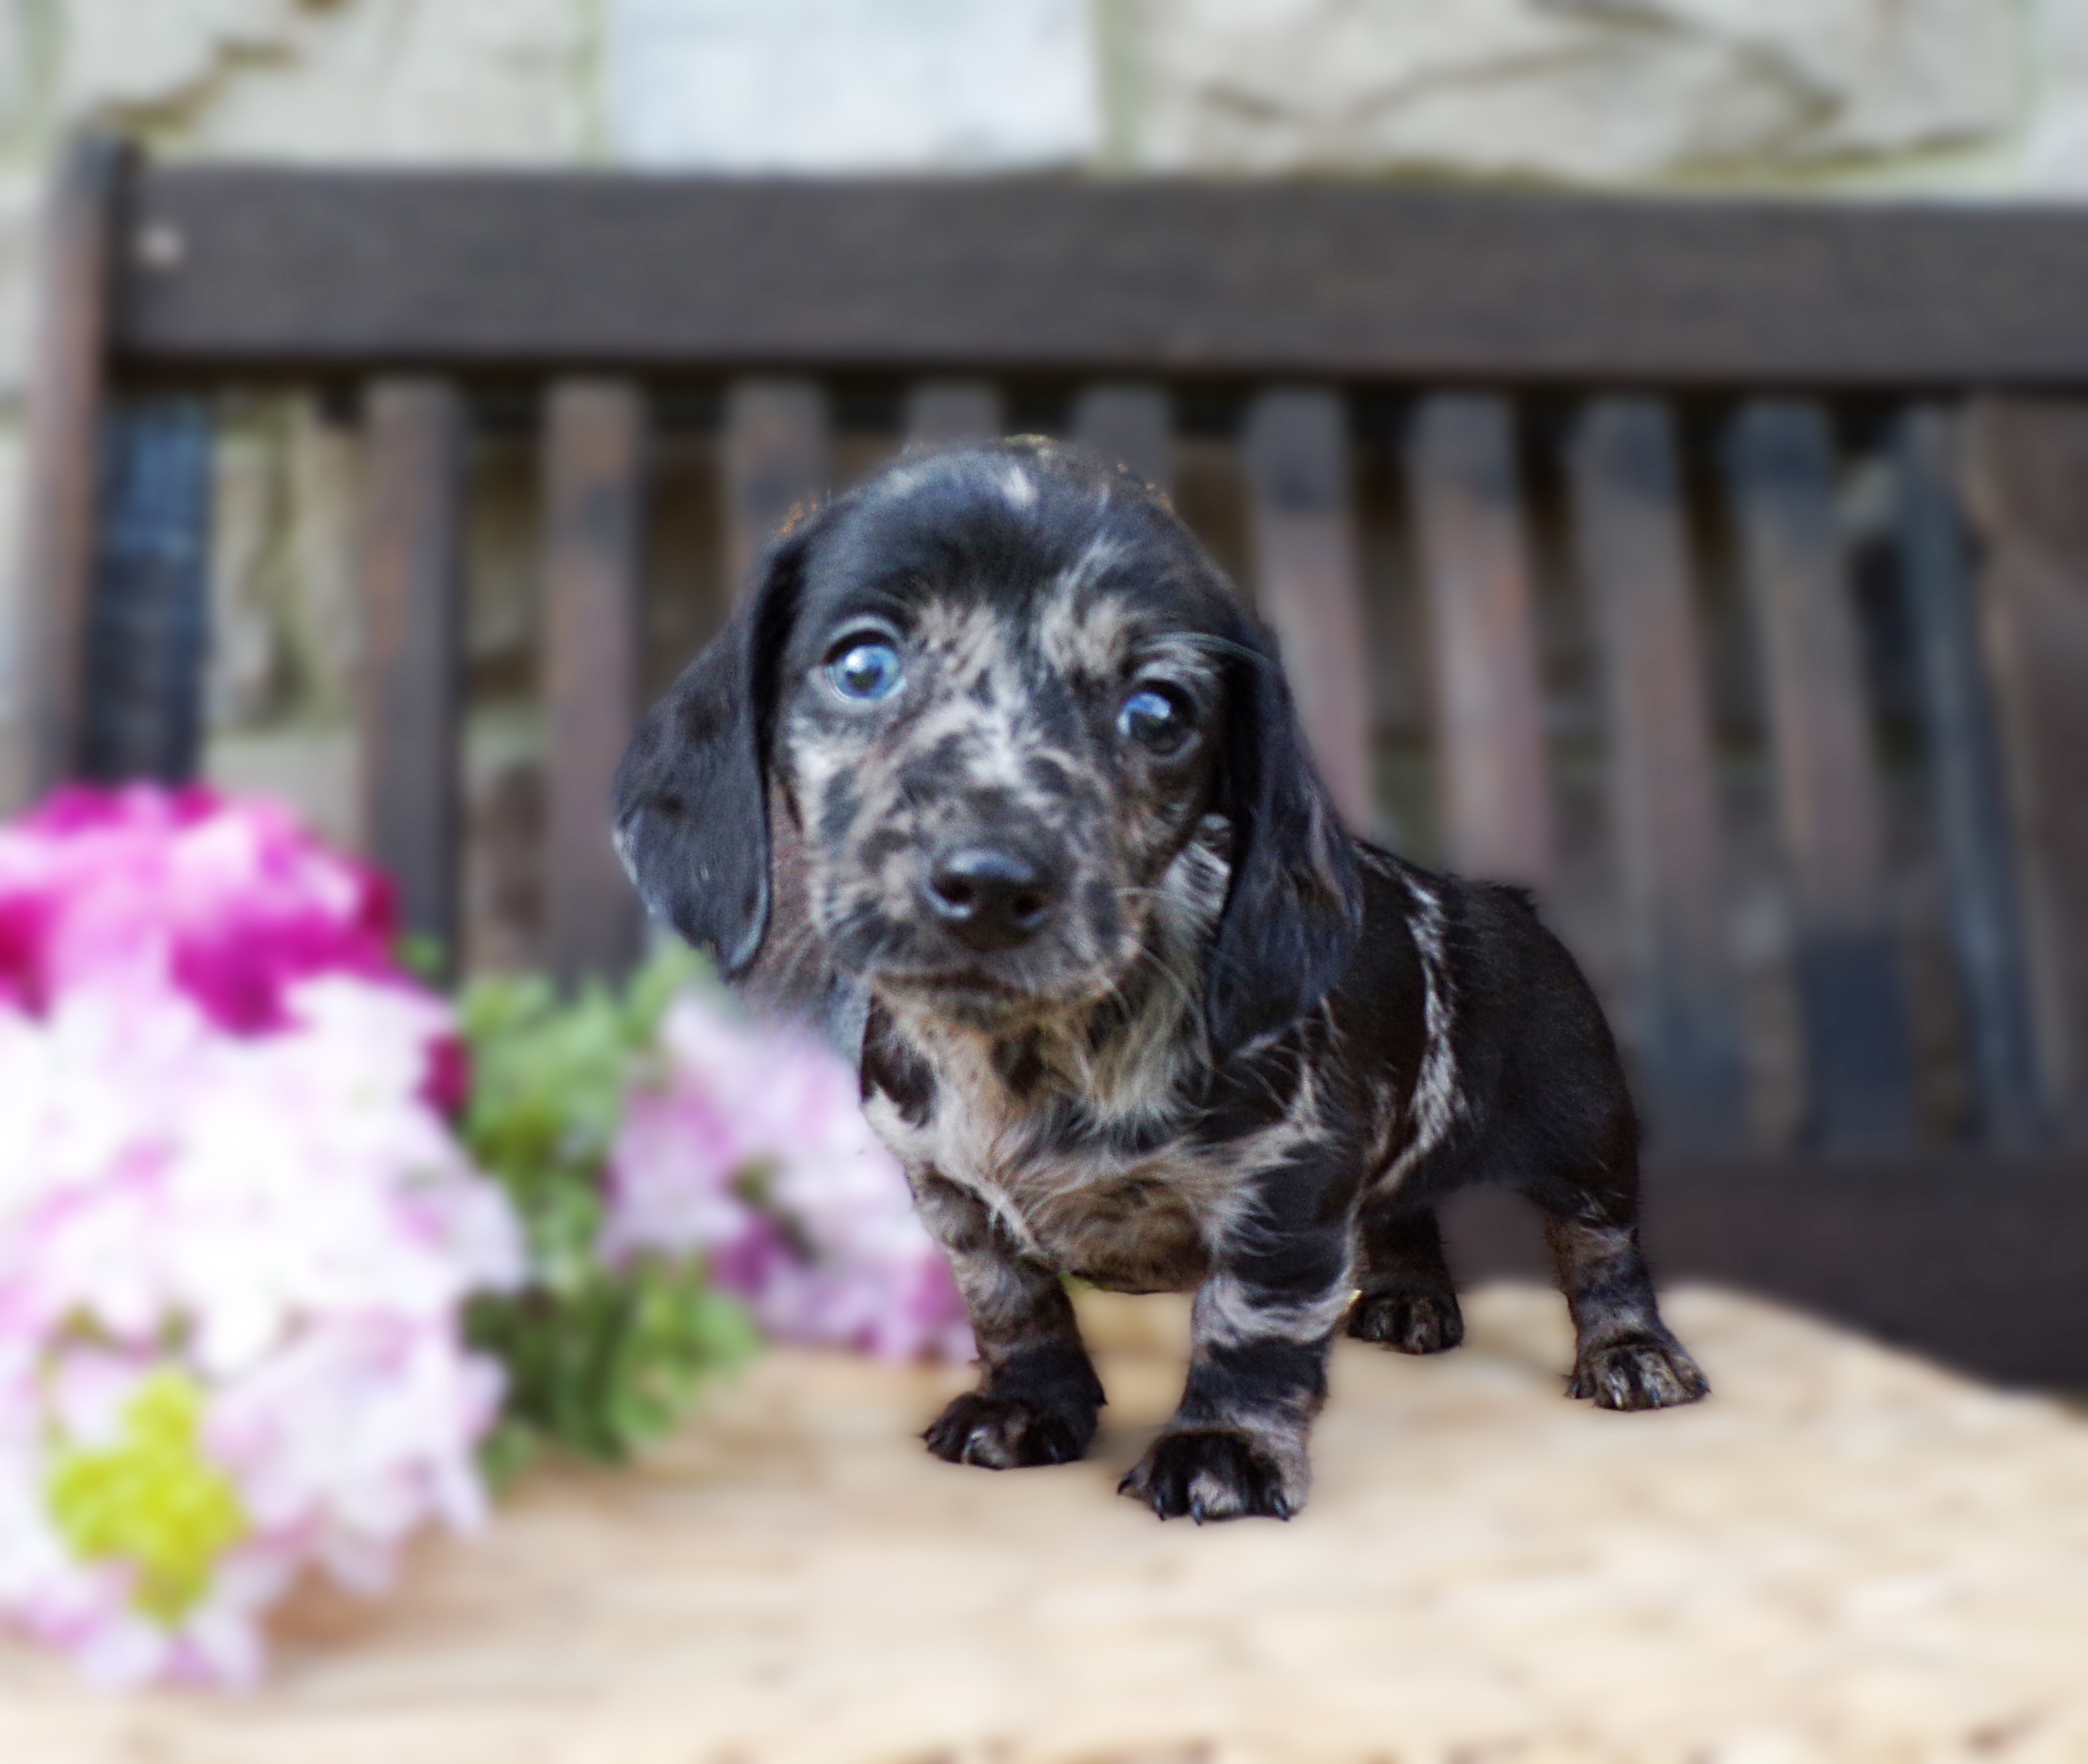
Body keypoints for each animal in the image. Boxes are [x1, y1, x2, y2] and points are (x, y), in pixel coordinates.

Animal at [609, 436, 1703, 1511]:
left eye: (1158, 711)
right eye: (864, 663)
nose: (991, 884)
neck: (1031, 1057)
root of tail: (1507, 902)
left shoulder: (1284, 1192)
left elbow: (1248, 1326)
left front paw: (1224, 1447)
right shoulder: (954, 1198)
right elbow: (1013, 1306)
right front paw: (1027, 1404)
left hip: (1584, 1139)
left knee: (1600, 1248)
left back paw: (1631, 1351)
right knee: (1404, 1212)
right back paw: (1406, 1299)